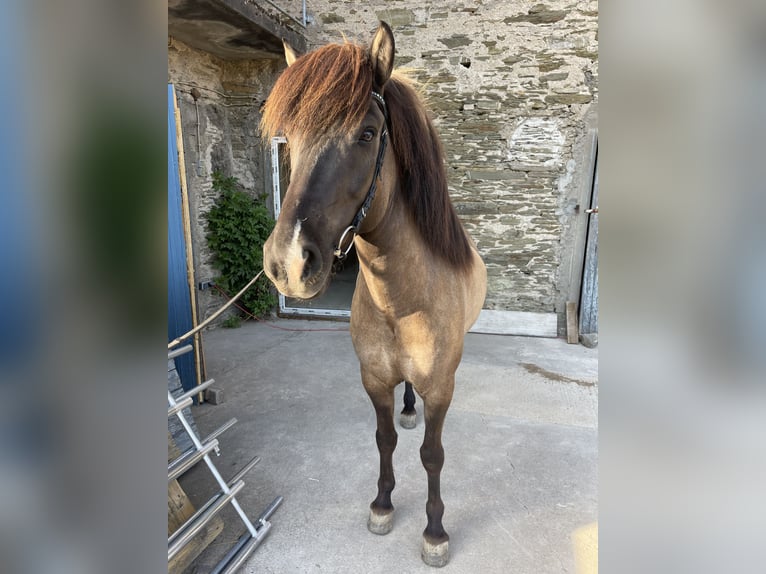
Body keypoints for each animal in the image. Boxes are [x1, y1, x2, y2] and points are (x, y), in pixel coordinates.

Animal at [261, 22, 487, 567]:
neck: (401, 301)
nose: (286, 263)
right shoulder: (374, 380)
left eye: (366, 134)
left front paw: (434, 532)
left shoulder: (441, 390)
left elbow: (432, 455)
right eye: (290, 139)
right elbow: (384, 440)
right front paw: (383, 504)